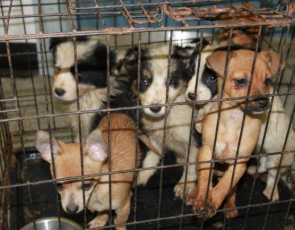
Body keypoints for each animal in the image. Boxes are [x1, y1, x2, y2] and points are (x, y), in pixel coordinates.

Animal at [123, 43, 202, 198]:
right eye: (144, 81)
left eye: (170, 81)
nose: (155, 108)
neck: (167, 118)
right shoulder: (154, 137)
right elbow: (150, 158)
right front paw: (141, 177)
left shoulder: (195, 140)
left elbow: (191, 165)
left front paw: (185, 185)